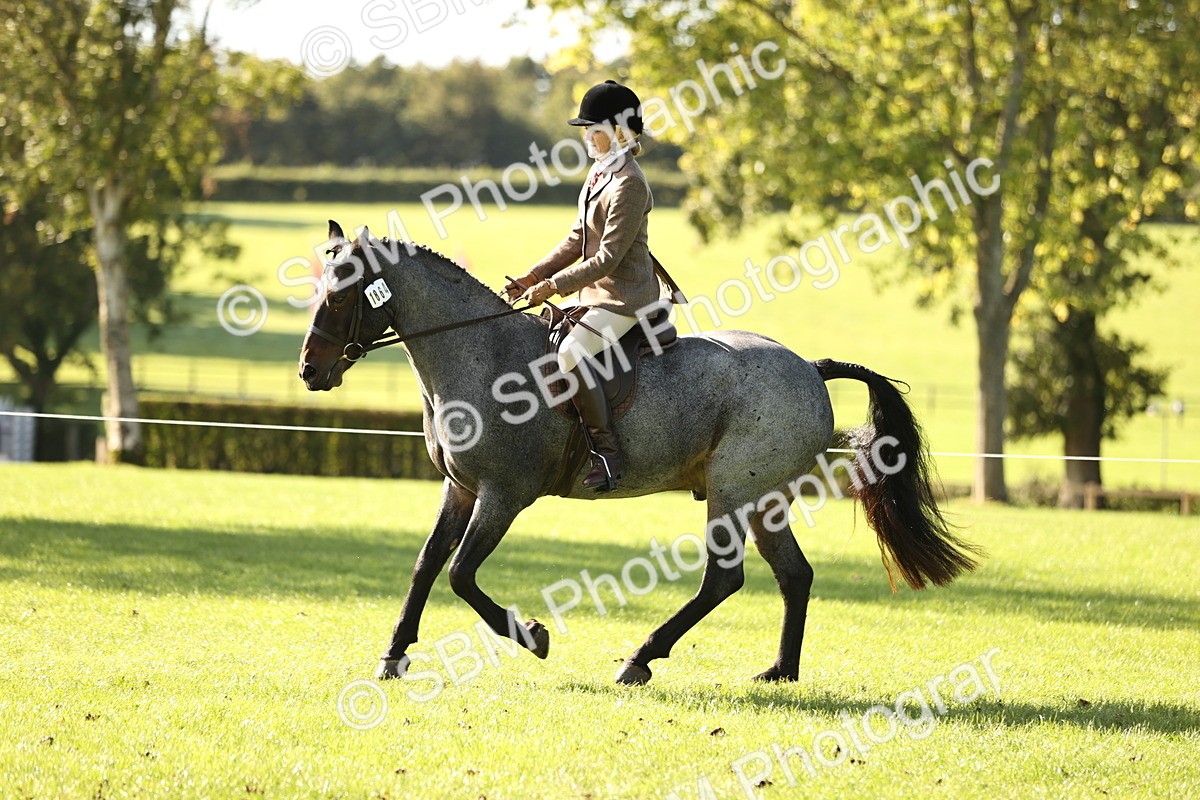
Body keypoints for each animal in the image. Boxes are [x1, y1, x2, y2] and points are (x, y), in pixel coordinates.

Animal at [298, 221, 981, 686]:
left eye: (341, 294)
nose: (310, 371)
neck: (481, 356)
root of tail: (810, 368)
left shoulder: (503, 494)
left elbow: (461, 573)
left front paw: (534, 637)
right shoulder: (460, 488)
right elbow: (425, 566)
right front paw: (393, 655)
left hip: (734, 491)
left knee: (724, 578)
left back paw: (640, 659)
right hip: (763, 499)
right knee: (794, 574)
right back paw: (779, 670)